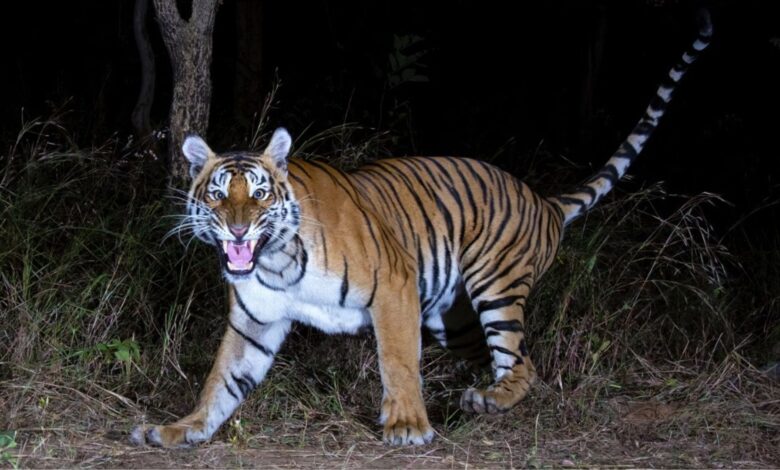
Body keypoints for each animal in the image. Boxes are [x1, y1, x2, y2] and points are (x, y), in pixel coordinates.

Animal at [130, 12, 711, 447]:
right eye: (216, 193)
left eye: (259, 194)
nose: (236, 228)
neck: (275, 262)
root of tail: (543, 201)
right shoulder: (255, 320)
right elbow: (221, 380)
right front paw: (181, 430)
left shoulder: (394, 286)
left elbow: (397, 360)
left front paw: (408, 425)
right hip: (450, 317)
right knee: (512, 359)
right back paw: (480, 397)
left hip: (496, 289)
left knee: (521, 363)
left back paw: (489, 399)